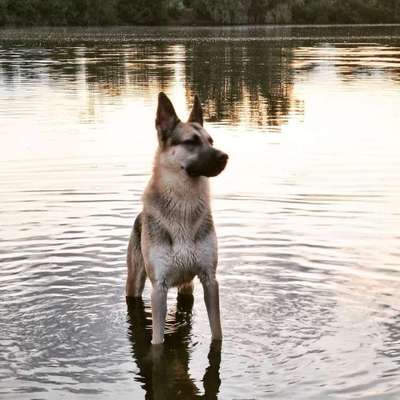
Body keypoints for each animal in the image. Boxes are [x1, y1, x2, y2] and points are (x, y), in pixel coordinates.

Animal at [126, 93, 230, 344]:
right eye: (191, 142)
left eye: (211, 141)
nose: (225, 157)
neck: (184, 207)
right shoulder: (159, 288)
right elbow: (157, 342)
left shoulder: (209, 280)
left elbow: (217, 332)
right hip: (134, 282)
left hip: (187, 286)